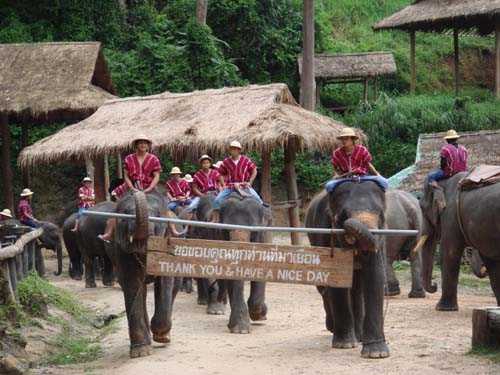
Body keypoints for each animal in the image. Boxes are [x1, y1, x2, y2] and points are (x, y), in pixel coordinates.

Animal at [108, 191, 183, 358]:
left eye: (158, 216)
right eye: (124, 216)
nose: (135, 190)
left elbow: (165, 282)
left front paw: (161, 337)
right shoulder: (121, 251)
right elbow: (132, 283)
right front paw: (140, 351)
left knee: (174, 287)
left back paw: (165, 337)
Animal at [304, 184, 390, 360]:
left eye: (381, 216)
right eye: (342, 216)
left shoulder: (381, 237)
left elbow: (375, 276)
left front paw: (377, 354)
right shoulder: (325, 231)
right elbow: (335, 276)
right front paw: (344, 345)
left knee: (356, 287)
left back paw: (359, 336)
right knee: (324, 288)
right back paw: (334, 329)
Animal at [422, 173, 500, 312]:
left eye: (422, 207)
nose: (434, 285)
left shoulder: (450, 214)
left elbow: (449, 252)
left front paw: (442, 309)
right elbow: (491, 260)